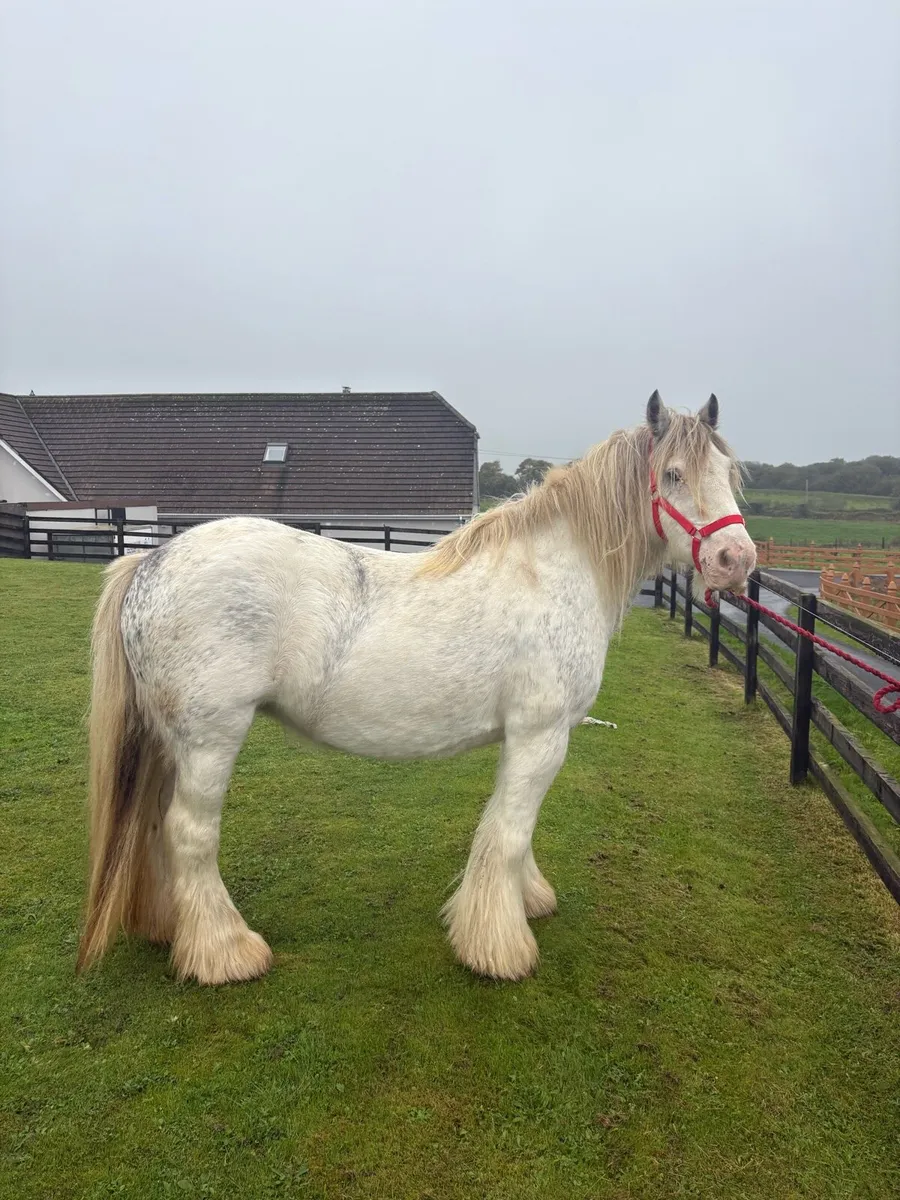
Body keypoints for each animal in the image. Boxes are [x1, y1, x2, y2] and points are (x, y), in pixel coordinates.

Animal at [76, 391, 756, 986]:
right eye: (672, 474)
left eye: (728, 471)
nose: (737, 561)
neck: (549, 573)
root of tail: (149, 563)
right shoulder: (540, 736)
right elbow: (509, 834)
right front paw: (498, 947)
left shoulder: (526, 739)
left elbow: (513, 829)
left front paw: (526, 899)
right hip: (210, 741)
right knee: (189, 834)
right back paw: (225, 953)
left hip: (170, 743)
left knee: (155, 829)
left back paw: (169, 927)